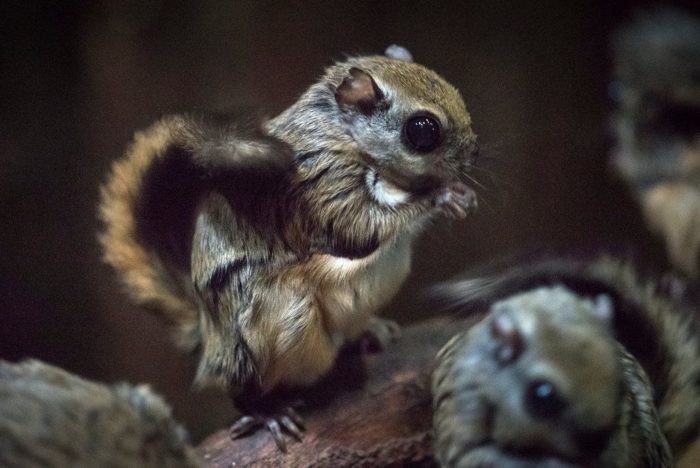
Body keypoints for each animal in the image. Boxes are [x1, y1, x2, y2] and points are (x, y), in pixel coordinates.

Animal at [98, 44, 478, 446]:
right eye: (423, 130)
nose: (474, 153)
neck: (344, 132)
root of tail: (208, 339)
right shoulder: (323, 183)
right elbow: (358, 230)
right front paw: (442, 196)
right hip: (277, 318)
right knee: (241, 388)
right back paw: (267, 411)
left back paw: (368, 331)